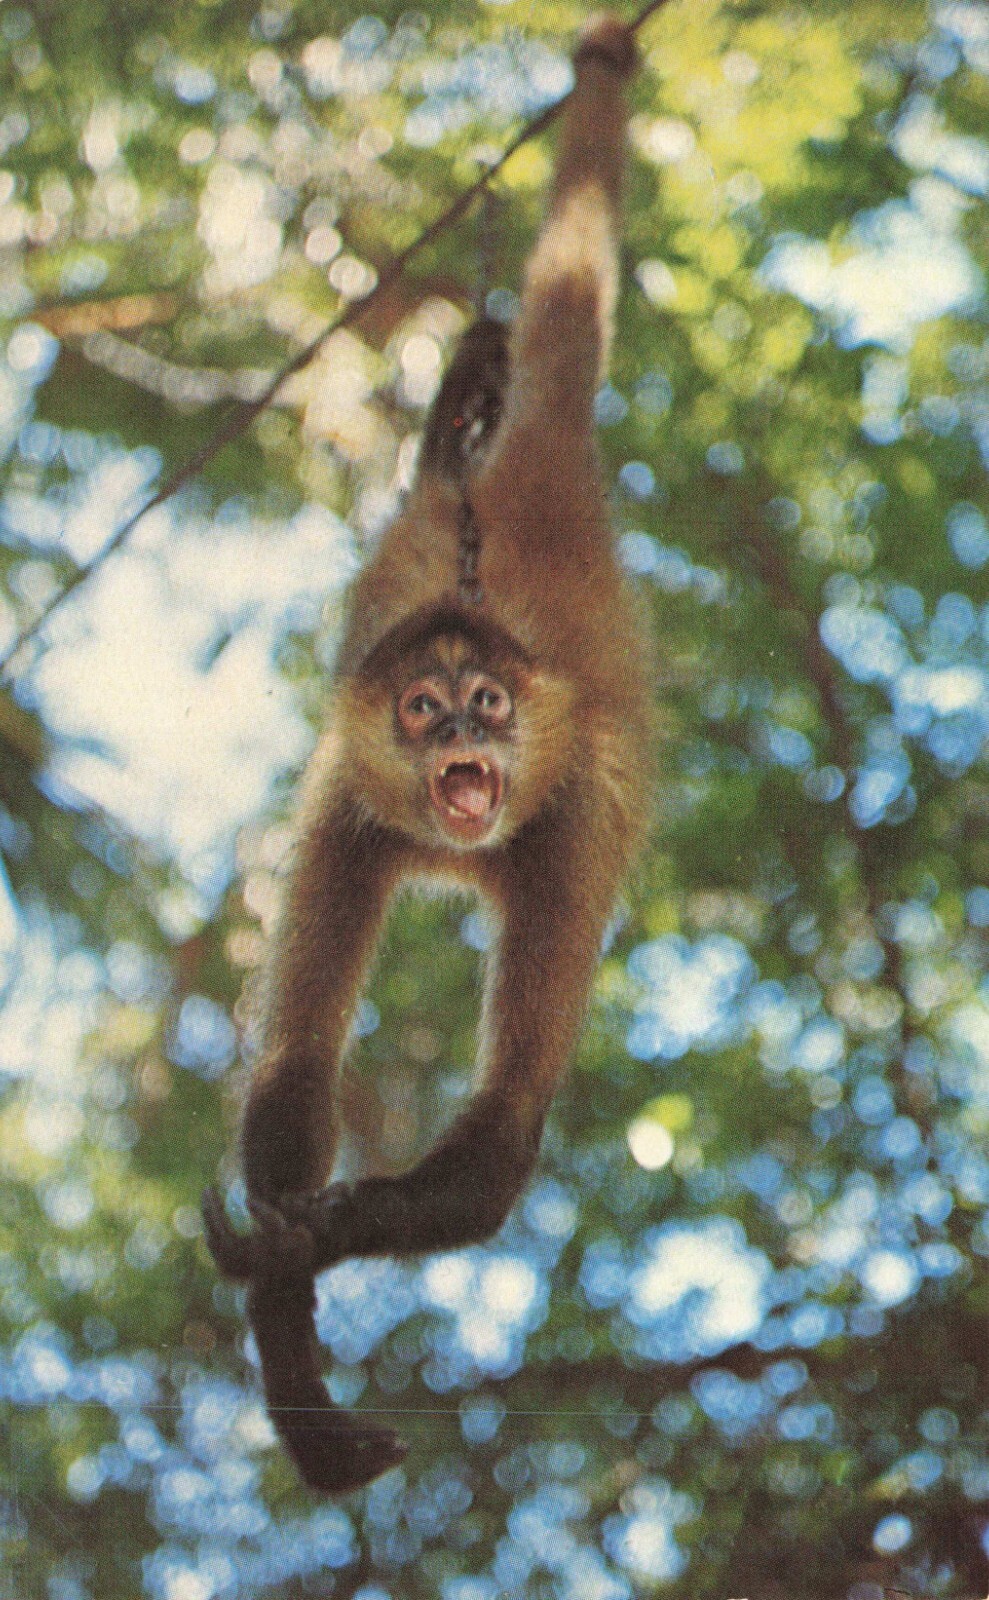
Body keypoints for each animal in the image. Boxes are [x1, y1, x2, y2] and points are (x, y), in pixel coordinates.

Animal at [202, 13, 651, 1495]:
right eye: (420, 712)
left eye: (488, 705)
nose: (458, 731)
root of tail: (513, 494)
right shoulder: (348, 801)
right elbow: (294, 1069)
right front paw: (290, 1342)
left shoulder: (573, 819)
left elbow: (504, 1130)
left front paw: (314, 1236)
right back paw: (453, 409)